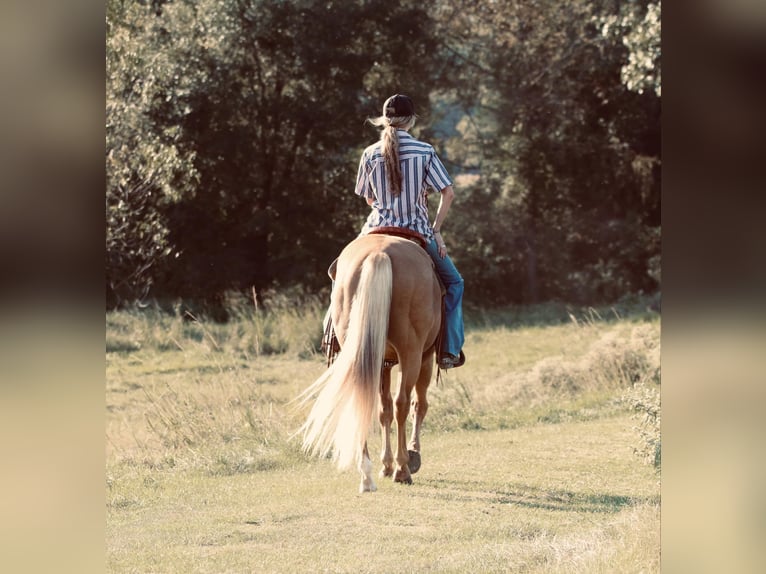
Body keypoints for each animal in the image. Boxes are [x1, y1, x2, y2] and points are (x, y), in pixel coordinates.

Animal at [300, 234, 444, 496]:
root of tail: (379, 253)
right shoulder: (425, 357)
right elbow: (418, 405)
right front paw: (412, 455)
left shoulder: (383, 363)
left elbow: (383, 410)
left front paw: (386, 465)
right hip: (411, 352)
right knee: (402, 403)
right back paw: (403, 469)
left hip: (362, 350)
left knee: (364, 400)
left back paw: (367, 475)